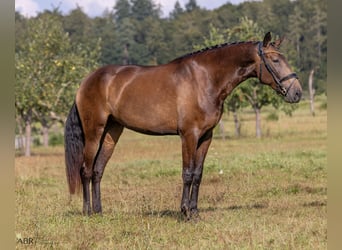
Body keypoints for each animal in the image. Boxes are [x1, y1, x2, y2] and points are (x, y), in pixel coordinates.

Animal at [64, 32, 302, 220]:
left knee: (98, 171)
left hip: (111, 132)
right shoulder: (189, 135)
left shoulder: (206, 137)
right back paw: (87, 212)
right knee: (86, 170)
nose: (297, 92)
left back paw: (99, 212)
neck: (205, 78)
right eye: (275, 60)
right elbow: (187, 173)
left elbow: (198, 174)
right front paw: (185, 212)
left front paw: (195, 212)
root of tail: (86, 81)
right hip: (94, 132)